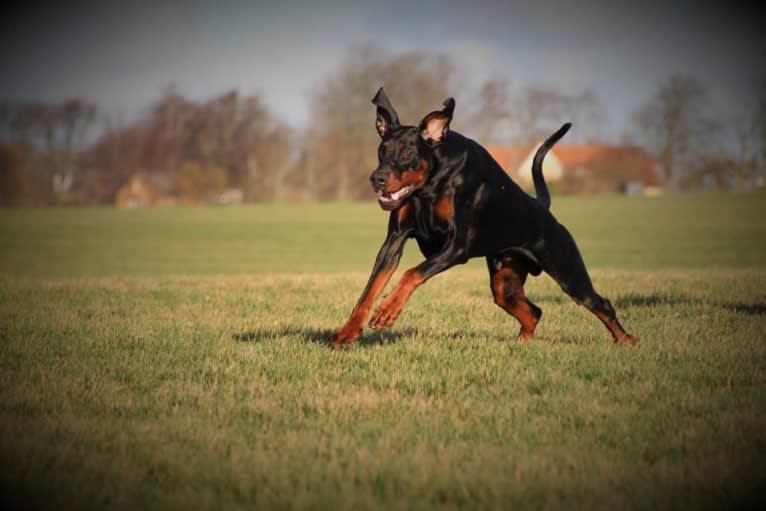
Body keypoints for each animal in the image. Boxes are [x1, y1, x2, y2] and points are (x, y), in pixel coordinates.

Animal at [330, 88, 640, 348]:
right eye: (382, 150)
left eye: (408, 152)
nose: (377, 178)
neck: (432, 181)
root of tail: (543, 207)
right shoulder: (394, 241)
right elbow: (368, 291)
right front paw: (347, 333)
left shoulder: (457, 246)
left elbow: (411, 273)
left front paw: (387, 310)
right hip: (505, 283)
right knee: (533, 311)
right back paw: (522, 343)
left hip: (568, 271)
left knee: (600, 303)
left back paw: (627, 340)